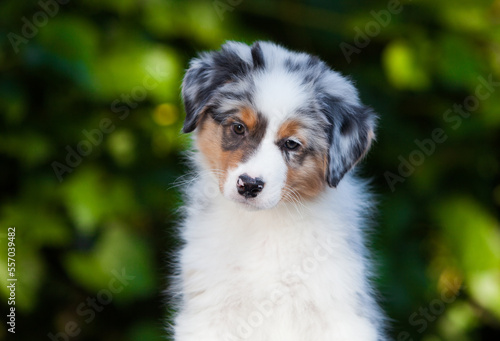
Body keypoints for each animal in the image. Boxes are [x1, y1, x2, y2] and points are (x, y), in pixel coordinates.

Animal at [174, 41, 388, 338]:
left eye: (291, 144)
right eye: (238, 127)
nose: (249, 185)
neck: (265, 223)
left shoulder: (338, 311)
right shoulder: (208, 311)